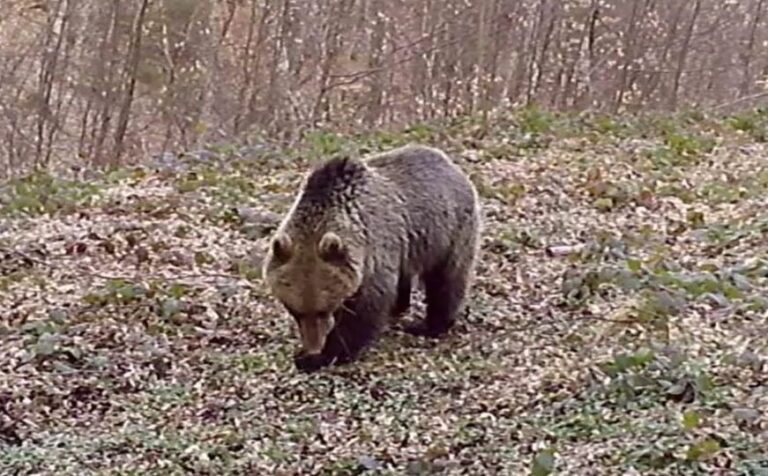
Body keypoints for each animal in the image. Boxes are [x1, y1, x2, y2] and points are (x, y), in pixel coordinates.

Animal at [260, 143, 484, 374]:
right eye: (295, 311)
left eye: (323, 310)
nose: (313, 347)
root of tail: (448, 162)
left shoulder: (374, 253)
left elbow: (365, 310)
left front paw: (321, 356)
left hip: (448, 231)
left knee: (447, 279)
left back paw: (429, 325)